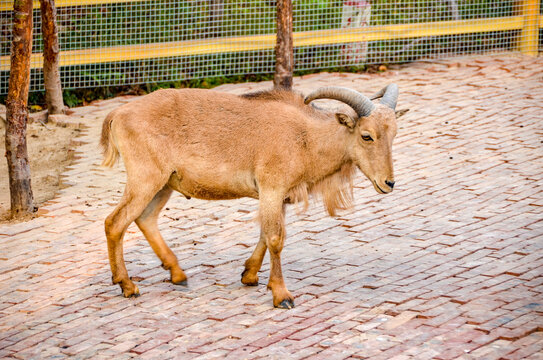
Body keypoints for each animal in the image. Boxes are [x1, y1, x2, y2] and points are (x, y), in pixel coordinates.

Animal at [102, 83, 400, 306]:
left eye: (393, 135)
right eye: (366, 136)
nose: (388, 183)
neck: (306, 138)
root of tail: (118, 114)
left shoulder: (278, 196)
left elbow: (265, 235)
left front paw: (249, 275)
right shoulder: (272, 188)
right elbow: (275, 238)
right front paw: (282, 295)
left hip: (164, 183)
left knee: (145, 218)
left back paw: (177, 274)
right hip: (146, 178)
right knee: (115, 222)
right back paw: (127, 285)